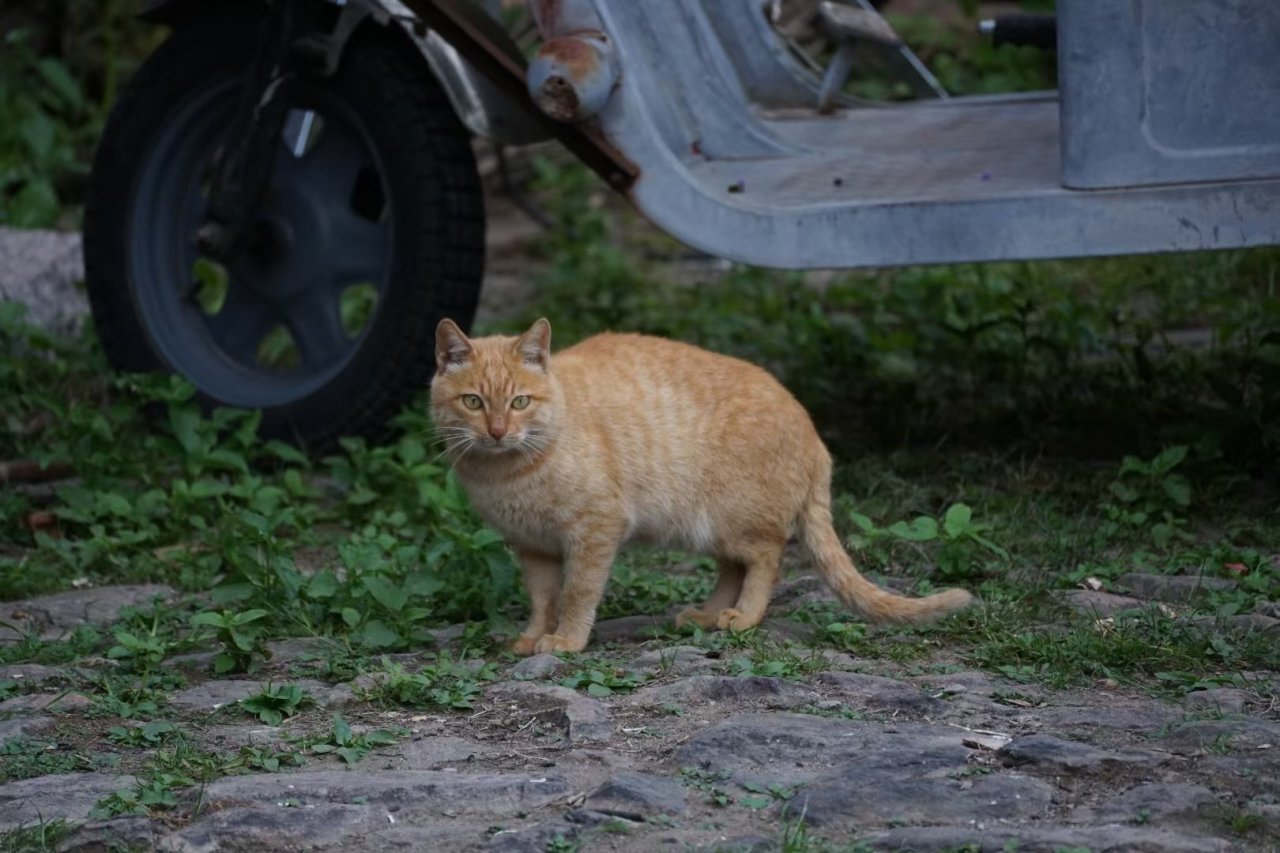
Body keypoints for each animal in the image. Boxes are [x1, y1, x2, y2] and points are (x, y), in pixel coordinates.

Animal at [430, 315, 967, 653]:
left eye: (519, 402)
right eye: (474, 402)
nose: (498, 431)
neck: (506, 474)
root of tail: (816, 438)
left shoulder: (595, 529)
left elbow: (578, 592)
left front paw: (566, 640)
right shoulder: (533, 546)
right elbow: (542, 598)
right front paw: (531, 637)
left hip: (732, 519)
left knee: (767, 558)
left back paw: (744, 618)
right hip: (707, 529)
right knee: (733, 568)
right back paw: (708, 615)